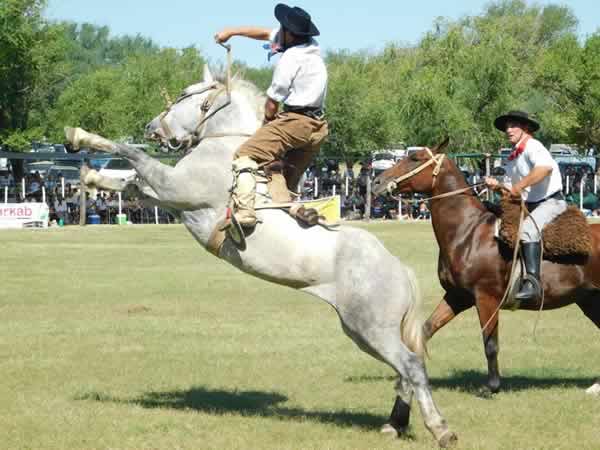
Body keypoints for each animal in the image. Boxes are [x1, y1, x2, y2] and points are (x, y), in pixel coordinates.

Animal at [65, 64, 458, 446]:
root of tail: (400, 269)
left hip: (372, 328)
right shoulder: (165, 195)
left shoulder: (174, 188)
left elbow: (133, 155)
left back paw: (440, 429)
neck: (225, 145)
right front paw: (92, 178)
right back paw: (395, 425)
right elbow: (130, 183)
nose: (152, 129)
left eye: (184, 94)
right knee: (404, 371)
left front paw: (81, 137)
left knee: (411, 367)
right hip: (361, 332)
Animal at [372, 140, 596, 394]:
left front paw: (493, 385)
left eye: (416, 158)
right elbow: (425, 331)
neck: (468, 232)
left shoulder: (486, 298)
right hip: (590, 301)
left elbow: (490, 344)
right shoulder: (457, 296)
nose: (377, 182)